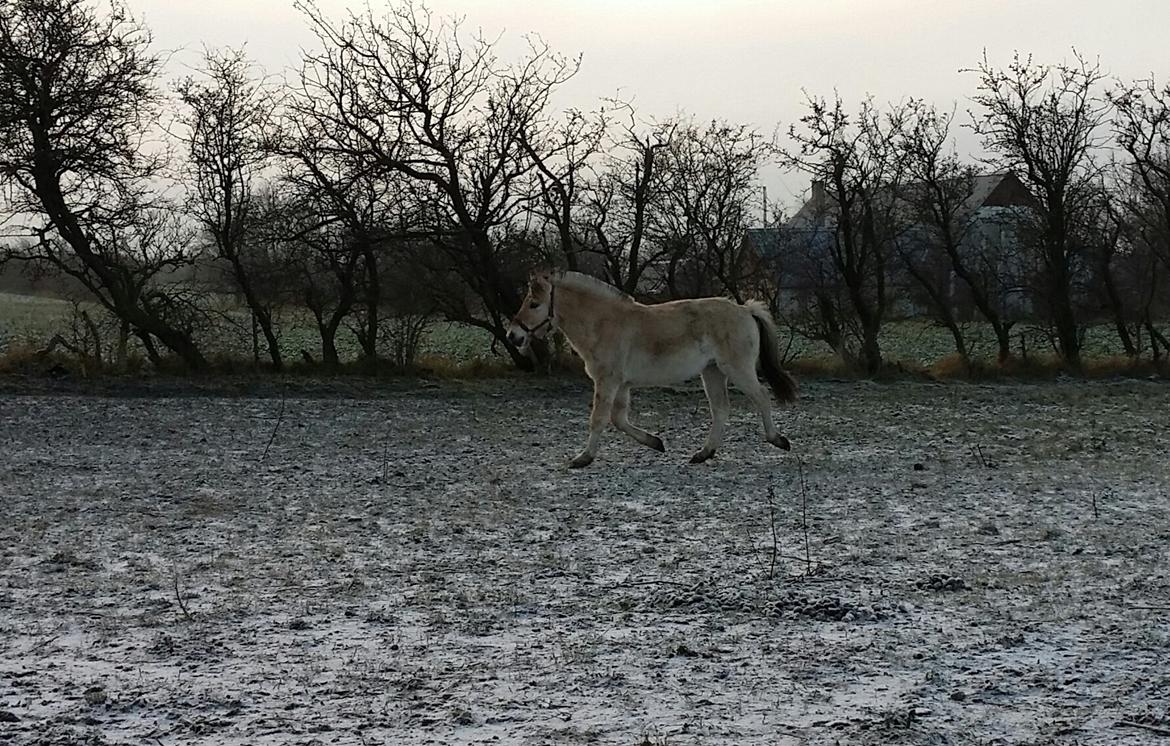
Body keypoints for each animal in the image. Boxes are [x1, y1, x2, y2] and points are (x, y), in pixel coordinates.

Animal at [507, 268, 800, 467]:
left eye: (534, 304)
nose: (513, 336)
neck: (603, 323)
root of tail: (744, 309)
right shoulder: (621, 385)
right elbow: (619, 419)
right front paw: (657, 443)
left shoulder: (607, 381)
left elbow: (598, 419)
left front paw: (583, 458)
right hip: (712, 372)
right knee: (720, 410)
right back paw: (703, 454)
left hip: (737, 369)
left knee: (761, 397)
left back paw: (778, 440)